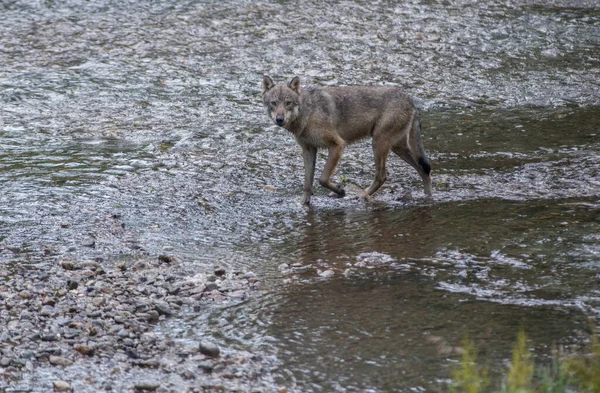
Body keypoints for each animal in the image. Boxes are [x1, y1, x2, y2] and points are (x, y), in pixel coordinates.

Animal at [262, 75, 432, 207]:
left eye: (288, 103)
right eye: (273, 103)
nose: (279, 119)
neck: (307, 113)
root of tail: (410, 99)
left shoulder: (337, 145)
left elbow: (322, 179)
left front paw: (340, 190)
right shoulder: (308, 150)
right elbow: (307, 183)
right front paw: (303, 203)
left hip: (378, 144)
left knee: (382, 176)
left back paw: (361, 195)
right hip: (397, 148)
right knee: (423, 170)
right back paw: (428, 197)